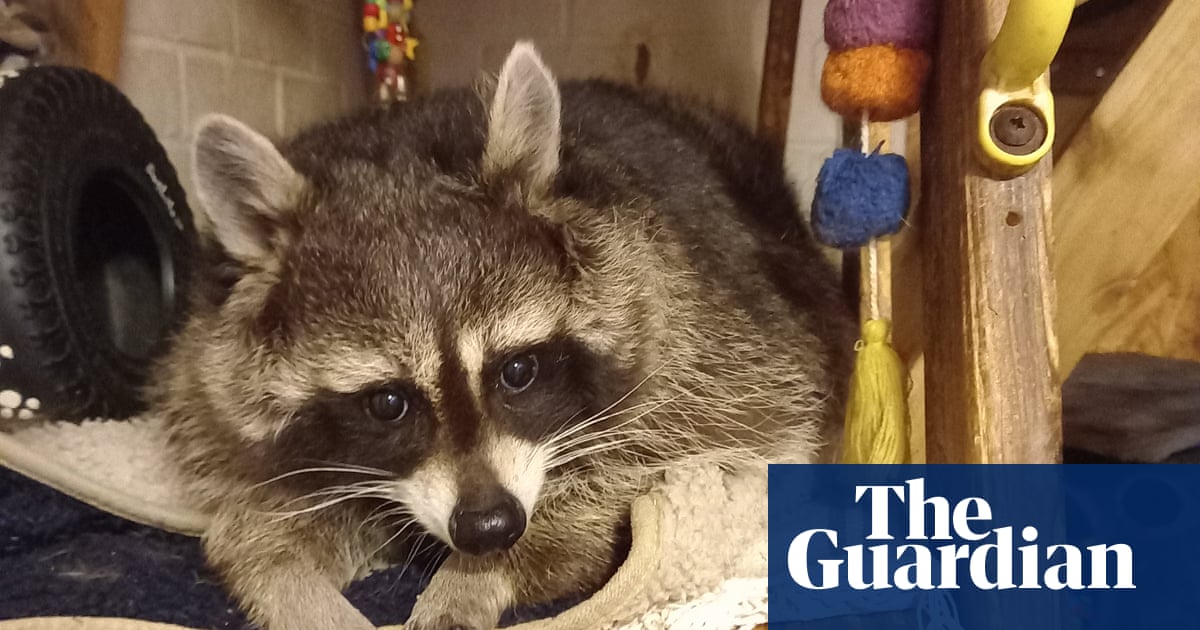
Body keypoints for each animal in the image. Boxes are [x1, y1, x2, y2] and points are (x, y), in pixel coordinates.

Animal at [148, 42, 856, 630]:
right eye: (387, 403)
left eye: (517, 371)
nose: (489, 528)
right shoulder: (214, 393)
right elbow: (253, 530)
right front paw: (296, 588)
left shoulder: (704, 352)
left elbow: (664, 467)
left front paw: (472, 582)